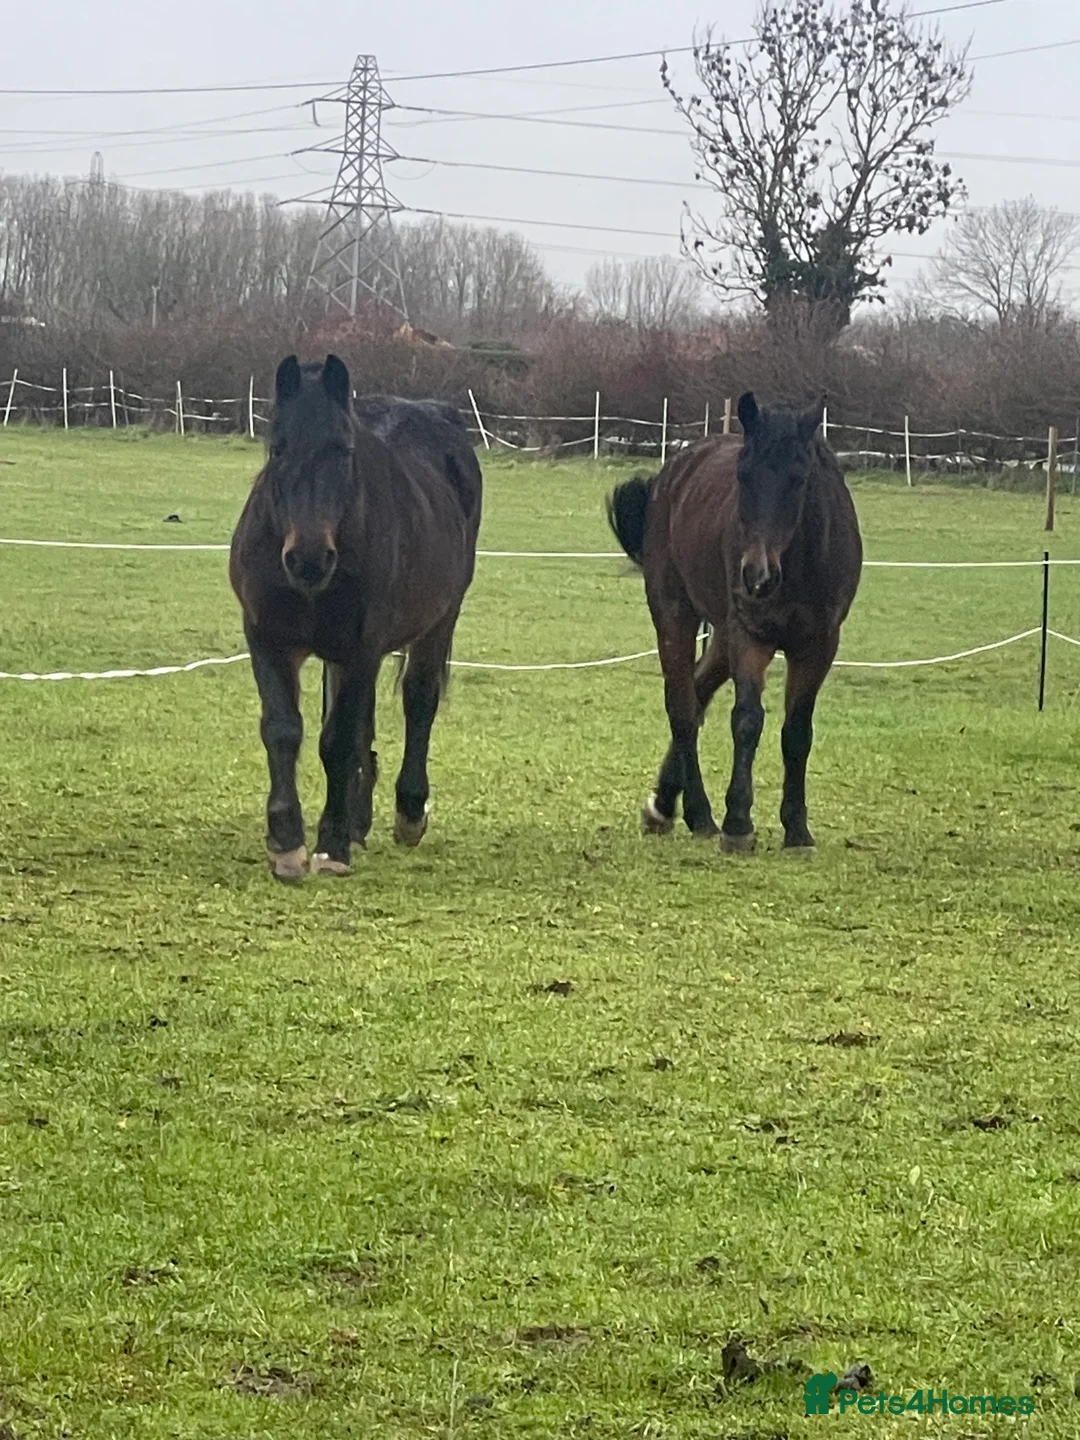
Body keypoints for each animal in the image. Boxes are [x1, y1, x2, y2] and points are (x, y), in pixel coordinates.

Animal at [229, 355, 482, 880]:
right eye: (278, 448)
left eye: (344, 449)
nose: (308, 559)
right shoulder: (268, 640)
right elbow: (284, 730)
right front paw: (287, 843)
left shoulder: (361, 648)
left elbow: (338, 741)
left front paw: (331, 845)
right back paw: (359, 821)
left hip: (437, 621)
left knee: (419, 700)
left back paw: (408, 812)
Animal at [606, 391, 862, 852]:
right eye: (743, 476)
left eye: (799, 478)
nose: (757, 575)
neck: (798, 566)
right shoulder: (751, 636)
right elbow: (747, 720)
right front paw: (738, 822)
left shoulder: (819, 645)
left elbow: (797, 731)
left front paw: (797, 830)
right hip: (677, 614)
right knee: (683, 707)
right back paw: (698, 813)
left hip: (722, 637)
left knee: (698, 693)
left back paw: (664, 804)